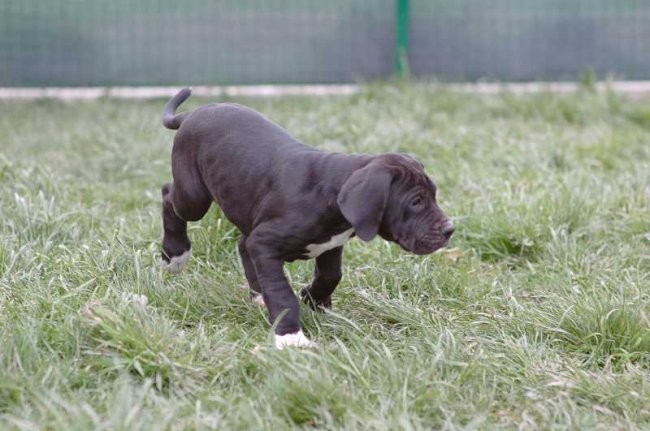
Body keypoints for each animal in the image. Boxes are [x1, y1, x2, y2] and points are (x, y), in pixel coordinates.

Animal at [159, 88, 454, 348]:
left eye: (434, 195)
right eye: (416, 202)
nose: (450, 229)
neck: (332, 192)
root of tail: (192, 113)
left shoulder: (331, 245)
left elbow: (331, 275)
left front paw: (313, 299)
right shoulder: (265, 244)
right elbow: (281, 292)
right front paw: (290, 336)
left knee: (242, 242)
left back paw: (257, 295)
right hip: (194, 196)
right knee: (168, 196)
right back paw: (175, 255)